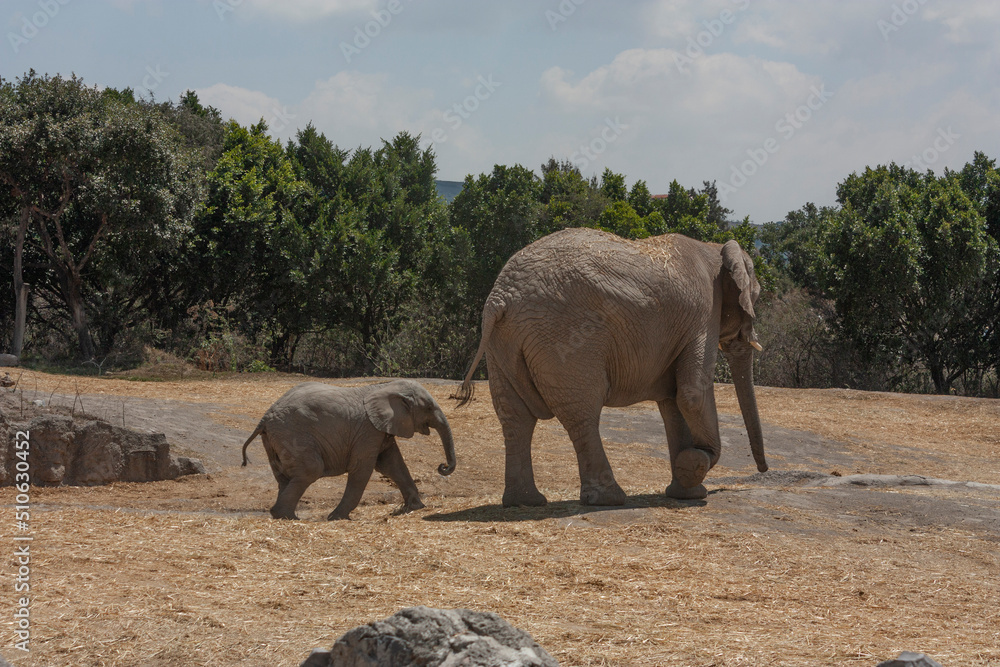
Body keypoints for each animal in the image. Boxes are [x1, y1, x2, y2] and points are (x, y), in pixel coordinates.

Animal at [241, 380, 456, 520]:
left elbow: (393, 465)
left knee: (284, 476)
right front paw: (336, 517)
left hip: (275, 439)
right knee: (311, 470)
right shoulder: (368, 431)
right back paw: (286, 517)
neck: (385, 386)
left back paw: (283, 515)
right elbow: (362, 469)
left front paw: (415, 507)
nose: (443, 466)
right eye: (429, 408)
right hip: (292, 434)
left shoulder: (381, 430)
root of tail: (265, 417)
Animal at [456, 227, 767, 506]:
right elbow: (691, 394)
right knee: (582, 414)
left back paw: (525, 502)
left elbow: (672, 403)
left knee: (515, 417)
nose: (763, 470)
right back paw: (609, 499)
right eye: (757, 297)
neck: (715, 248)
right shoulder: (703, 315)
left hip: (502, 344)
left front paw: (687, 491)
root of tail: (500, 298)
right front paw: (694, 465)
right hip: (565, 341)